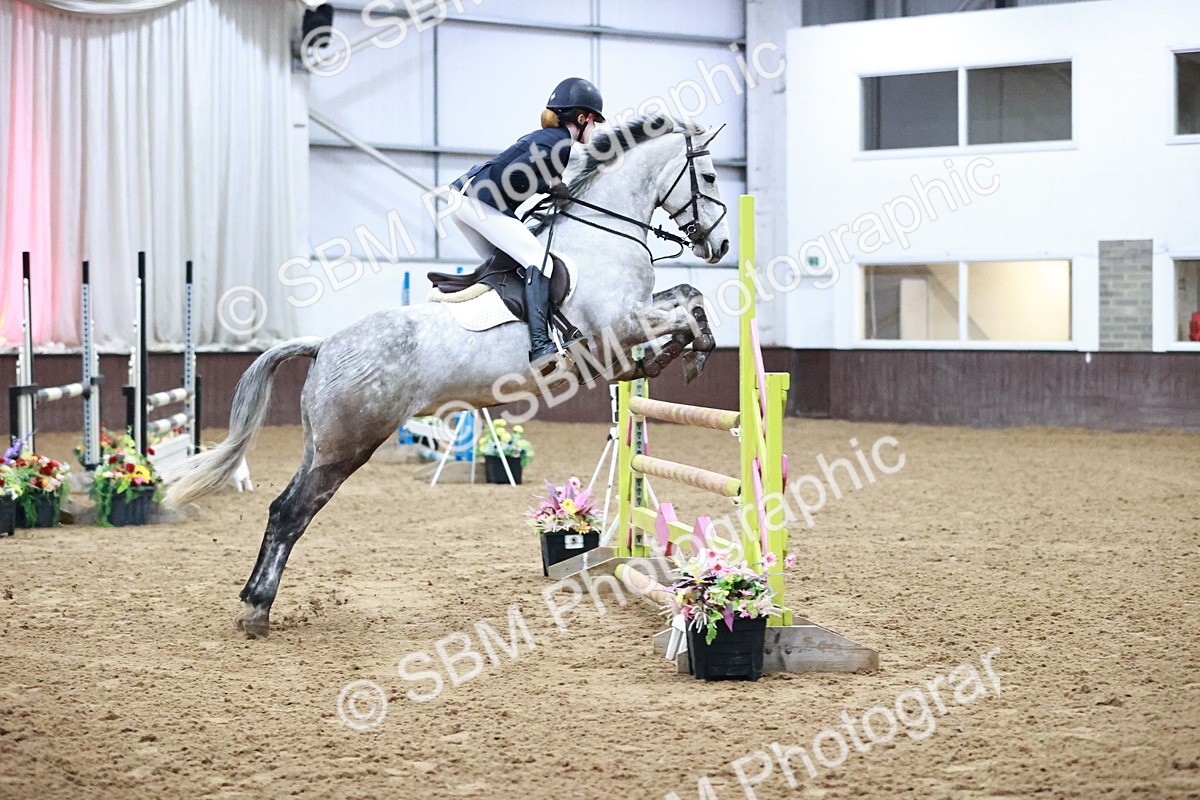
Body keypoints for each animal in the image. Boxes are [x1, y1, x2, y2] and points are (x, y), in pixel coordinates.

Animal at [164, 115, 732, 637]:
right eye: (707, 175)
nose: (722, 246)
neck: (603, 238)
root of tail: (325, 345)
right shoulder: (620, 324)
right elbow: (687, 309)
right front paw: (695, 353)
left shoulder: (632, 320)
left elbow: (686, 296)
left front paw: (669, 358)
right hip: (349, 444)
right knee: (291, 512)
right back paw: (257, 609)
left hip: (322, 444)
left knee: (285, 506)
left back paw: (253, 600)